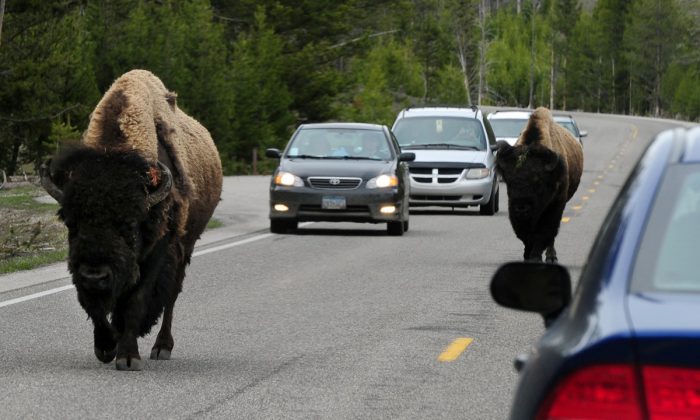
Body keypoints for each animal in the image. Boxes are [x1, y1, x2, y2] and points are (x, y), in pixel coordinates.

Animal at [41, 69, 221, 370]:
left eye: (129, 225)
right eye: (71, 223)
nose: (94, 274)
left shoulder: (157, 251)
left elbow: (137, 299)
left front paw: (127, 357)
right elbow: (95, 305)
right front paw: (105, 347)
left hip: (186, 246)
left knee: (171, 296)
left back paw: (162, 347)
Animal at [498, 106, 584, 262]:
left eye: (537, 181)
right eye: (509, 181)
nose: (521, 208)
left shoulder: (555, 205)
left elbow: (545, 232)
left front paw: (536, 256)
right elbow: (526, 235)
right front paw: (527, 255)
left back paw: (551, 257)